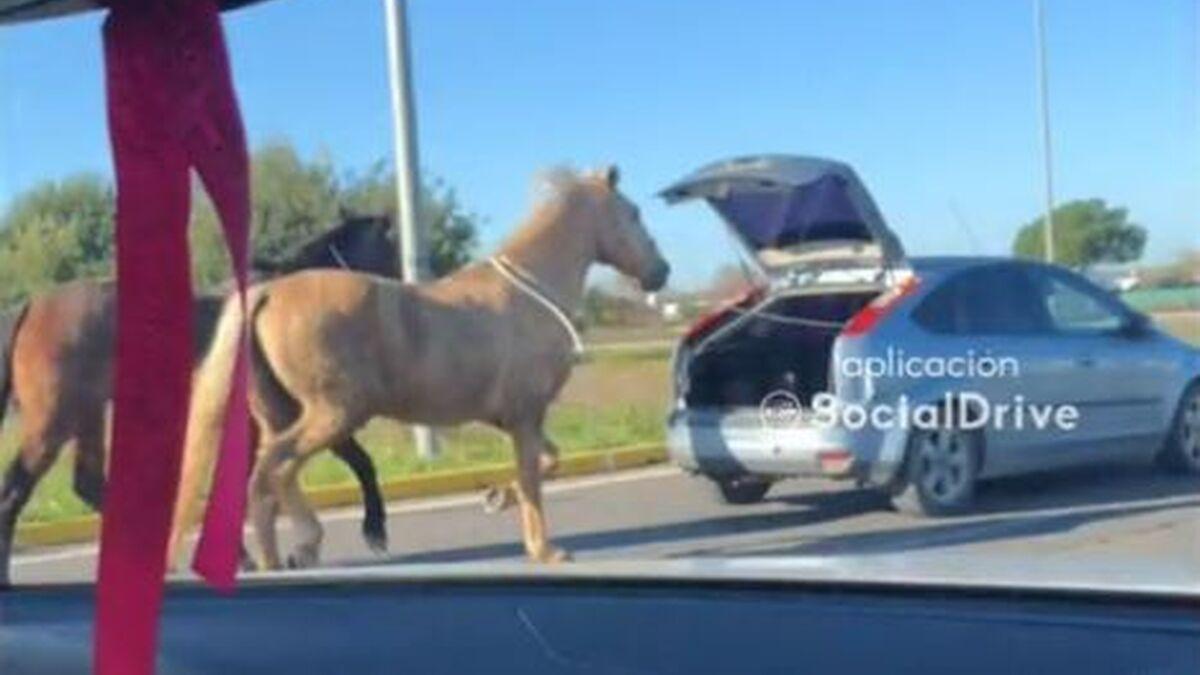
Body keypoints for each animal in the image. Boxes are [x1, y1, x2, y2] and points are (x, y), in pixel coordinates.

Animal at [0, 215, 398, 585]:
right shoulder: (296, 412)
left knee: (87, 481)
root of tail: (31, 306)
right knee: (17, 491)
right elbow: (358, 460)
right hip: (53, 421)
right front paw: (373, 530)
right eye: (390, 248)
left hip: (88, 414)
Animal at [174, 166, 669, 570]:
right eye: (633, 213)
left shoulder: (513, 419)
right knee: (267, 475)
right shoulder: (526, 415)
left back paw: (295, 549)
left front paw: (496, 496)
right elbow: (534, 477)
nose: (660, 272)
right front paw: (545, 550)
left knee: (276, 474)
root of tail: (266, 293)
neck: (529, 293)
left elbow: (549, 461)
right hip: (333, 414)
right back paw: (277, 560)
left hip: (283, 414)